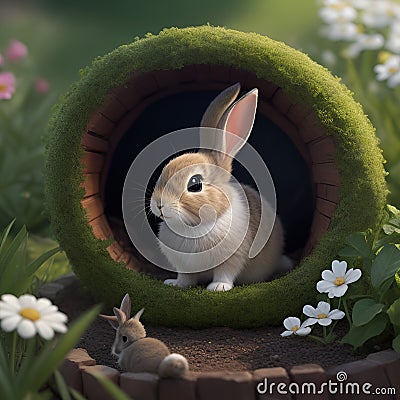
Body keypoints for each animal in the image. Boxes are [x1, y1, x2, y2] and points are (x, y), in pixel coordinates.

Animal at [150, 83, 290, 292]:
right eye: (164, 170)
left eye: (195, 184)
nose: (158, 204)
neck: (193, 227)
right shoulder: (185, 267)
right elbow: (186, 278)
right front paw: (176, 284)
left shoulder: (233, 258)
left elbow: (226, 273)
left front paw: (218, 287)